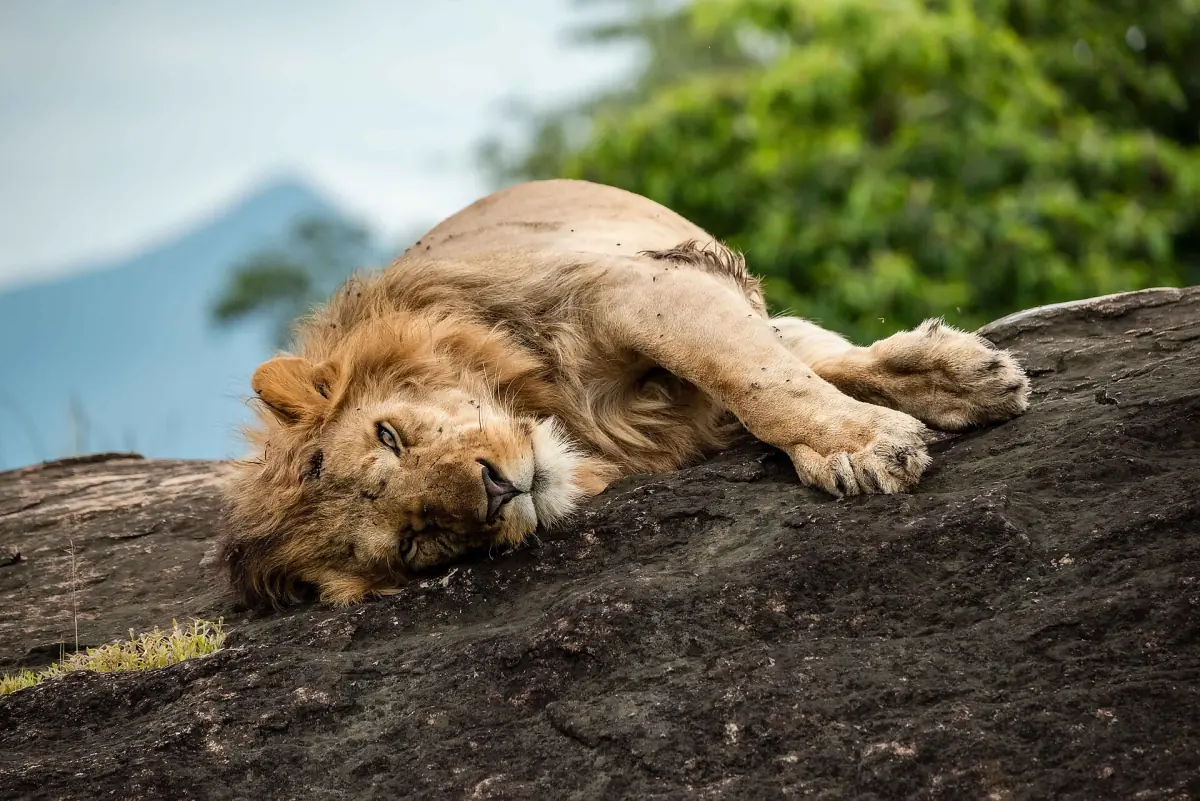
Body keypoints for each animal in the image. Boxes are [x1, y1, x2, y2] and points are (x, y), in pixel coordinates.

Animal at [218, 179, 1029, 607]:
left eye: (389, 435)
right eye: (415, 542)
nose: (496, 488)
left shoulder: (634, 281)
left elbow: (757, 373)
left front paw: (872, 438)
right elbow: (780, 374)